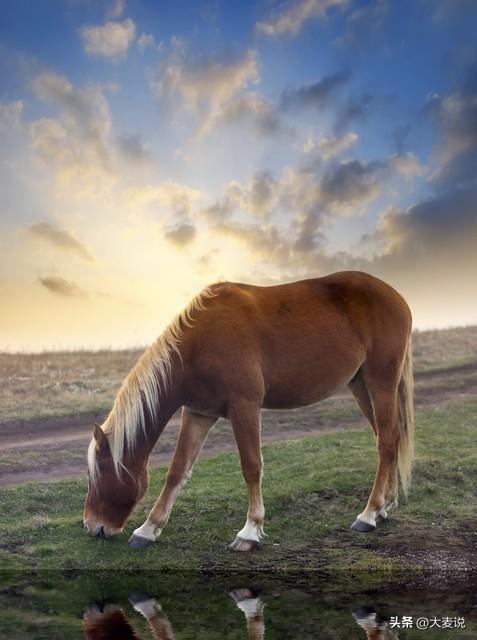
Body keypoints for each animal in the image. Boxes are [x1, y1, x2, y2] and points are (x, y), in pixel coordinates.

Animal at [83, 270, 414, 551]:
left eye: (98, 472)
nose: (91, 526)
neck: (199, 344)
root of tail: (396, 297)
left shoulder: (245, 406)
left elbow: (251, 466)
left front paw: (250, 531)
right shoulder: (198, 413)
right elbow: (177, 470)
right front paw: (148, 530)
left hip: (381, 382)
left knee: (386, 441)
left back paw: (368, 514)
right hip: (361, 386)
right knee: (388, 437)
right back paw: (385, 505)